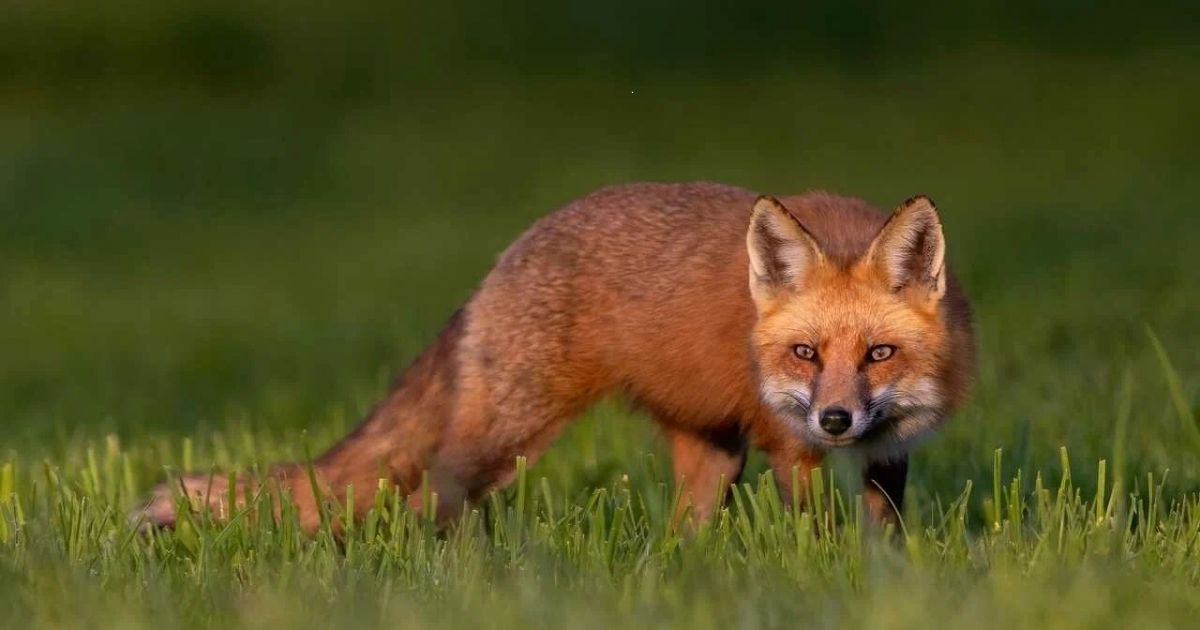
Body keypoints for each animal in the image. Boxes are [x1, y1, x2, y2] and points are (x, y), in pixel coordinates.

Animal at [136, 182, 974, 533]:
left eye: (879, 353)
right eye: (805, 353)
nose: (835, 419)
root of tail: (503, 259)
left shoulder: (888, 456)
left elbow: (886, 533)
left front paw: (886, 574)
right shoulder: (788, 449)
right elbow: (815, 534)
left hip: (712, 454)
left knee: (685, 534)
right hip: (510, 432)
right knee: (432, 494)